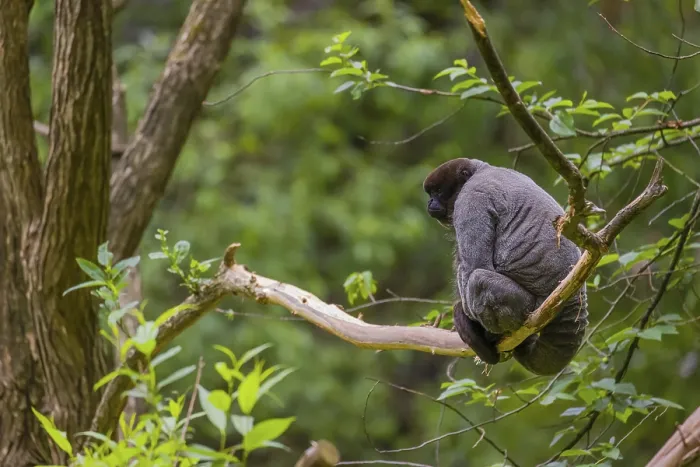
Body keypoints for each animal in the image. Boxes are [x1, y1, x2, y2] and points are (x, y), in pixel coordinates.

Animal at [423, 158, 588, 375]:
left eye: (439, 191)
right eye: (430, 194)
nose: (430, 202)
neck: (479, 171)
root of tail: (574, 299)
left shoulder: (471, 200)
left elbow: (476, 264)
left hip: (526, 306)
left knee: (478, 279)